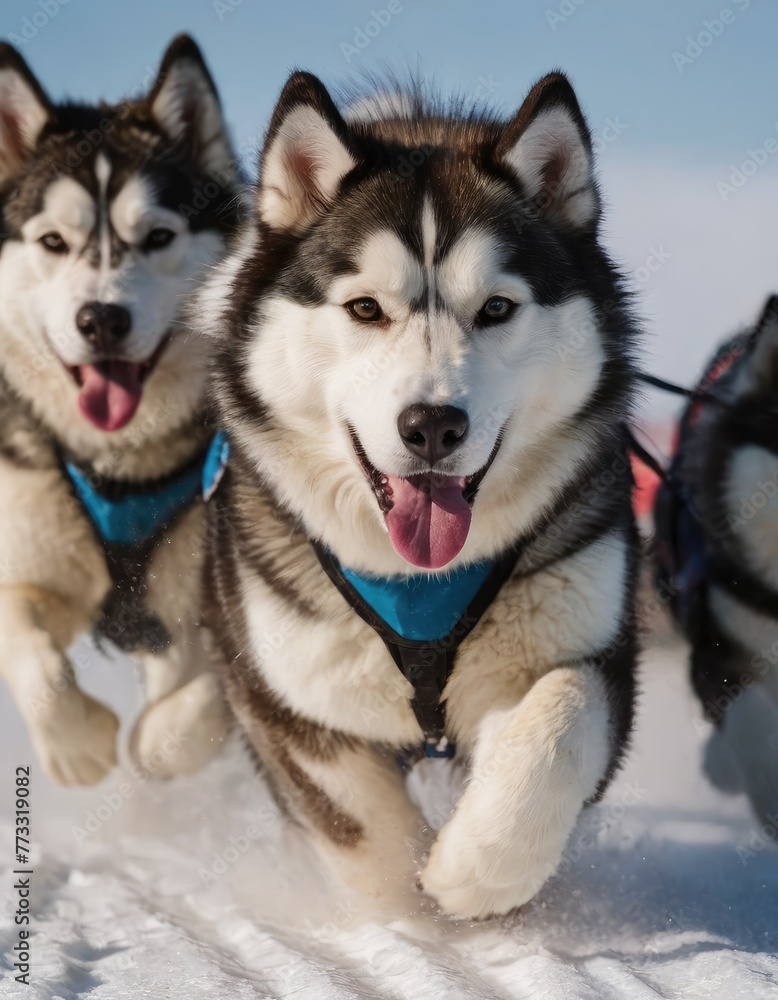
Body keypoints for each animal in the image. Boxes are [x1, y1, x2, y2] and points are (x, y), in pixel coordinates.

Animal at [0, 35, 241, 784]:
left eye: (158, 237)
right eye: (53, 242)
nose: (101, 320)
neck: (116, 464)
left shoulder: (195, 611)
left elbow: (198, 707)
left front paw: (152, 749)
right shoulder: (31, 546)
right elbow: (28, 649)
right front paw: (77, 744)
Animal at [199, 68, 636, 916]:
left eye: (496, 308)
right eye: (365, 308)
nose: (432, 425)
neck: (420, 583)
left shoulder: (589, 641)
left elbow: (561, 720)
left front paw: (477, 867)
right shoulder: (282, 696)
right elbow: (362, 831)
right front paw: (404, 913)